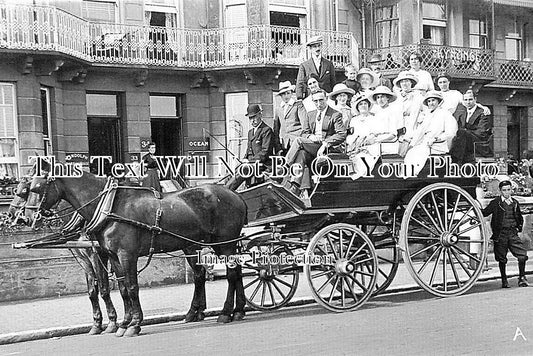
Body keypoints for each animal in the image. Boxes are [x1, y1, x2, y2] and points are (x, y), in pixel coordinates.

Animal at [11, 179, 118, 336]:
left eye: (25, 191)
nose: (11, 215)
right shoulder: (84, 259)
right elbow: (92, 292)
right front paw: (96, 324)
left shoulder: (97, 255)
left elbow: (104, 289)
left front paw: (112, 322)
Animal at [31, 169, 249, 336]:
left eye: (35, 188)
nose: (28, 218)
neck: (110, 206)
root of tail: (235, 195)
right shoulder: (112, 256)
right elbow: (121, 289)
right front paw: (123, 323)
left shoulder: (125, 255)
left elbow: (131, 287)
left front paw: (134, 324)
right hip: (204, 244)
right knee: (221, 273)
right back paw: (232, 310)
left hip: (224, 243)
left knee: (230, 274)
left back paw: (226, 312)